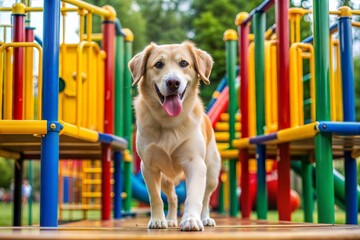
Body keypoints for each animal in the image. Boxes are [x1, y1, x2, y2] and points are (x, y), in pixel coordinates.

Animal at [128, 41, 221, 231]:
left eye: (184, 63)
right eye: (158, 64)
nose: (173, 82)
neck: (169, 123)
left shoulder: (196, 164)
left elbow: (194, 197)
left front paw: (191, 220)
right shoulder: (148, 167)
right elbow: (155, 198)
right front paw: (158, 220)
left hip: (212, 174)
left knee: (206, 198)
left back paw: (206, 218)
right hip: (166, 180)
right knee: (173, 197)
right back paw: (170, 219)